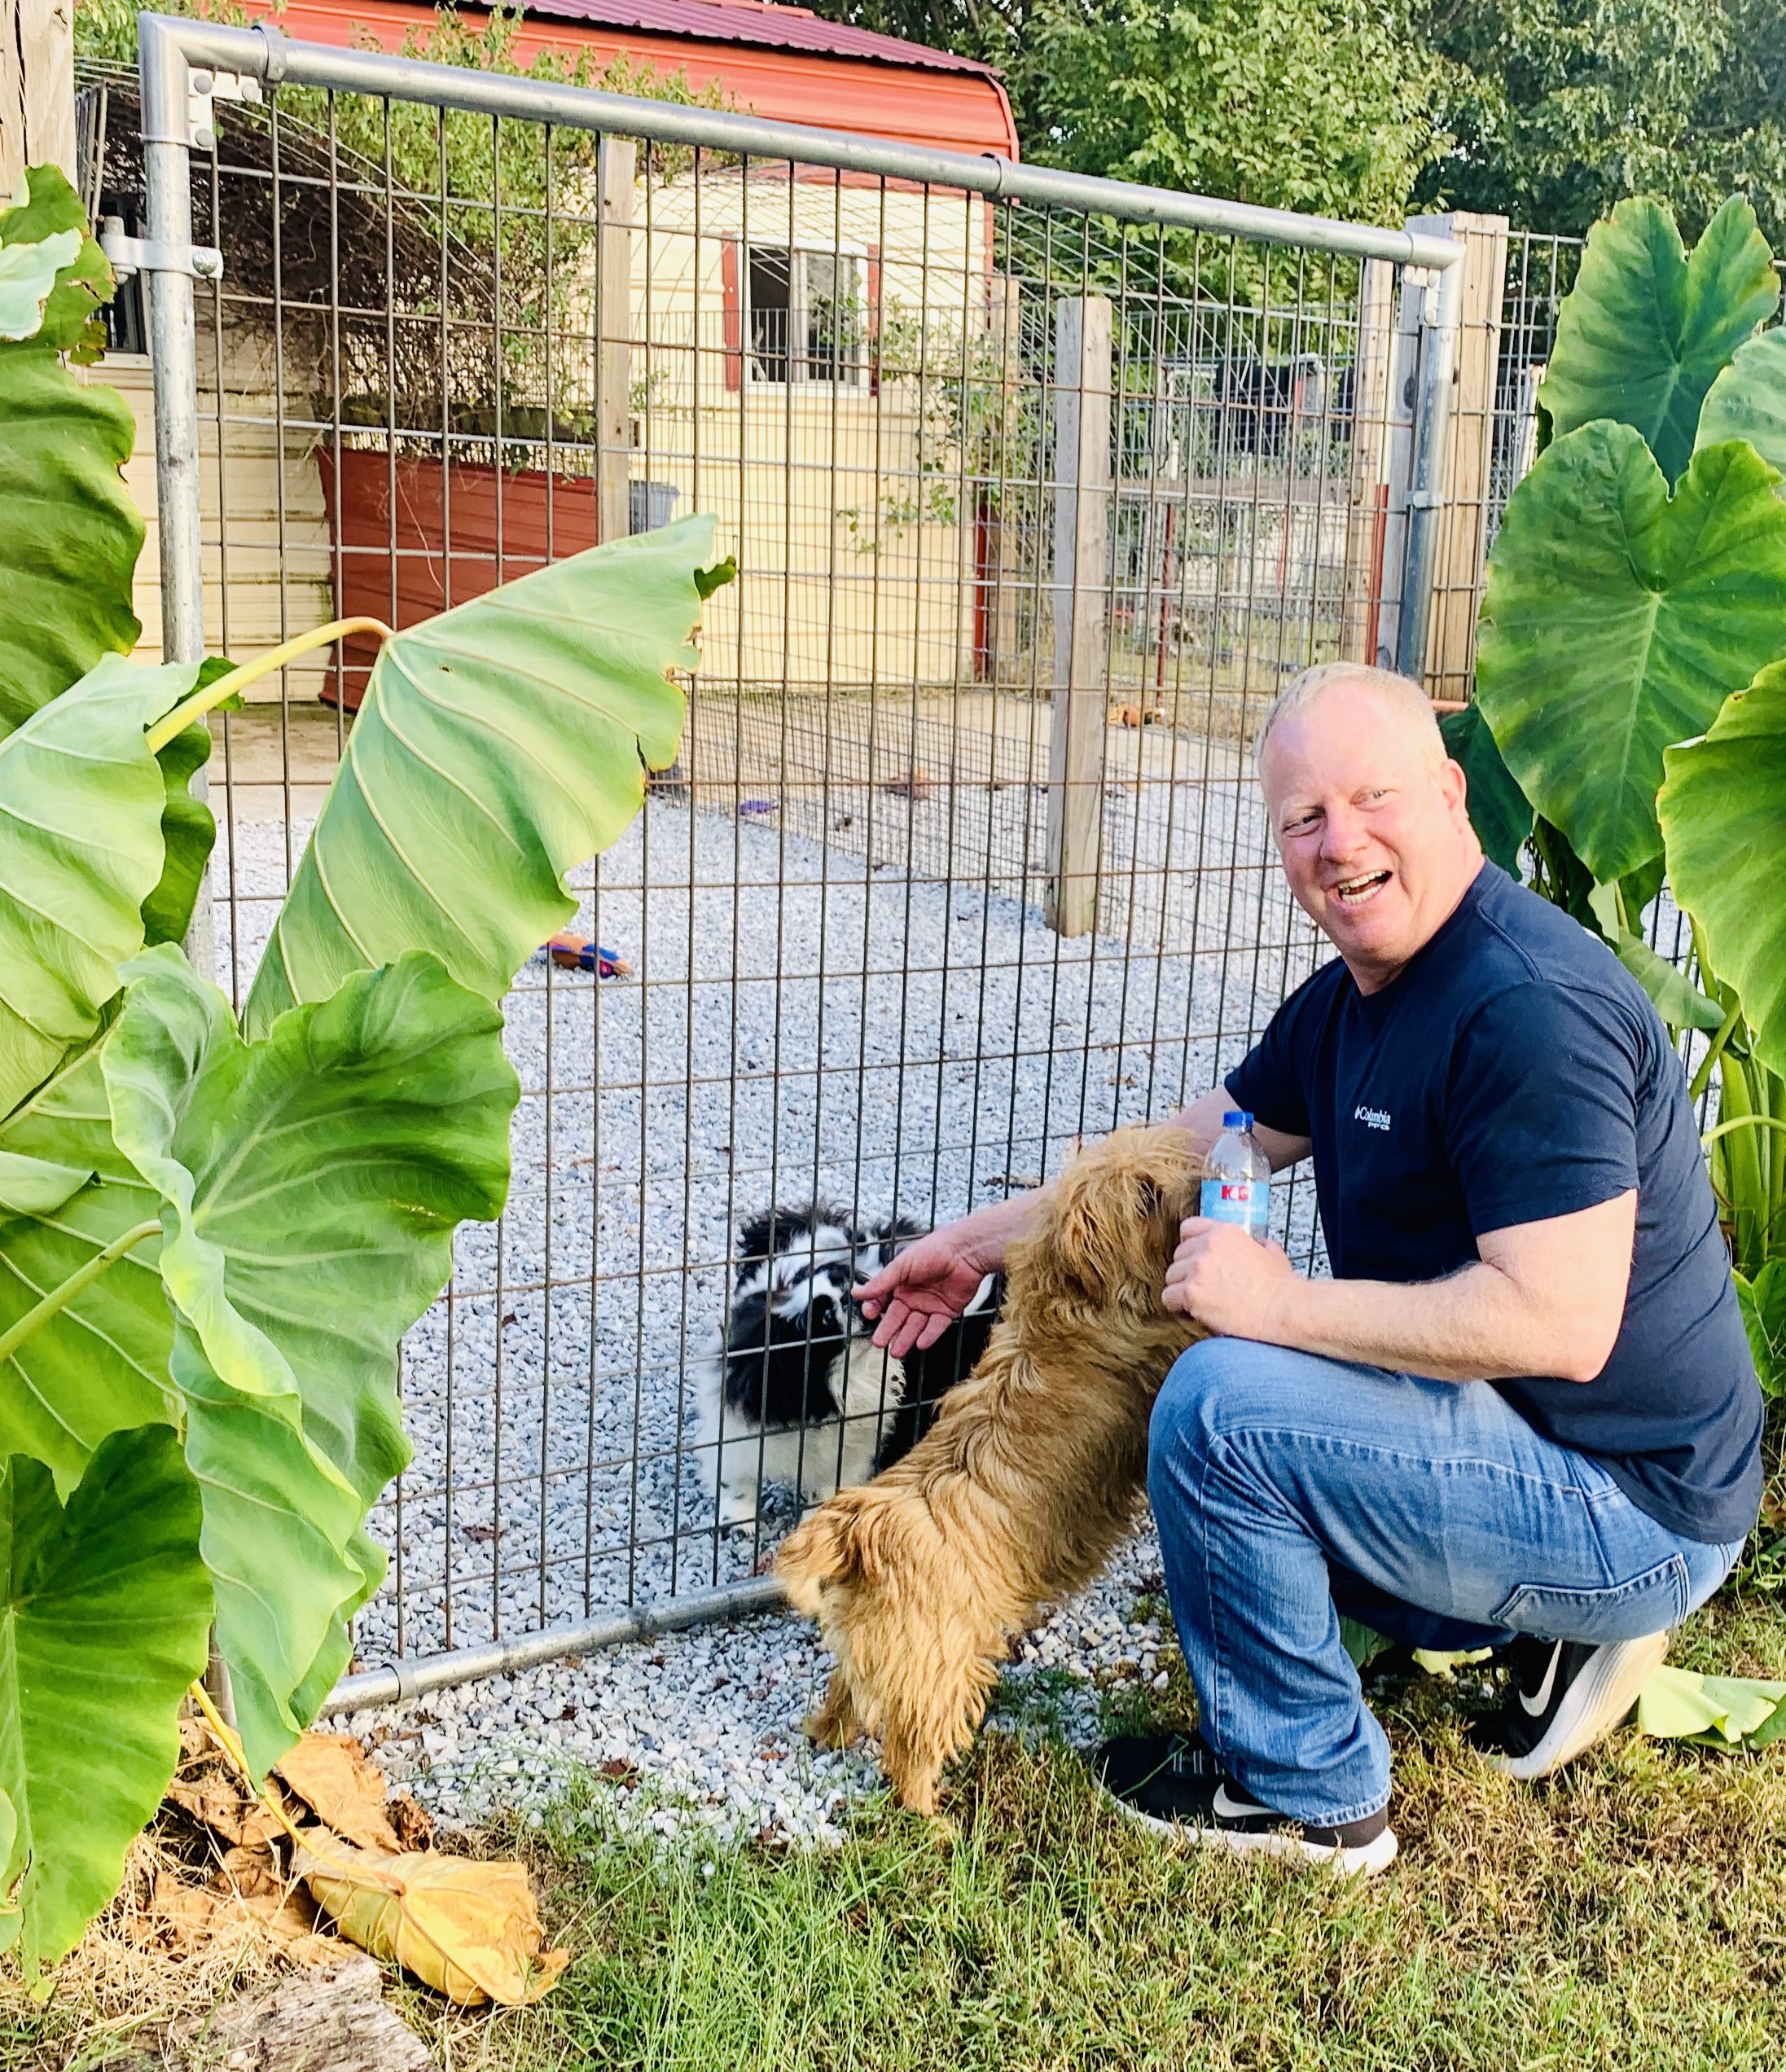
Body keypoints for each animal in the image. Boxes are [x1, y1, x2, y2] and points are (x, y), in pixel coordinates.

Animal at [775, 1118, 1209, 1815]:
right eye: (1146, 1194)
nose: (1205, 1181)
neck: (1066, 1302)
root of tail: (856, 1528)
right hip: (942, 1664)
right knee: (910, 1750)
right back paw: (933, 1817)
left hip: (877, 1648)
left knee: (847, 1692)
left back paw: (826, 1733)